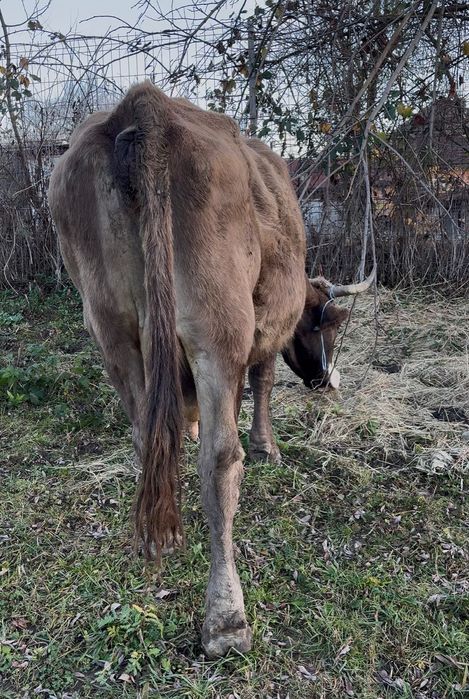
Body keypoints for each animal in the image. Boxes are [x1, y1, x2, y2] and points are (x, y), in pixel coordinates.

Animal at [48, 81, 374, 658]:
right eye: (328, 327)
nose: (326, 382)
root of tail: (145, 107)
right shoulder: (265, 325)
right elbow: (262, 380)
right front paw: (268, 446)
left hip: (111, 330)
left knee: (148, 437)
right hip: (218, 328)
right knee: (221, 460)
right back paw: (226, 618)